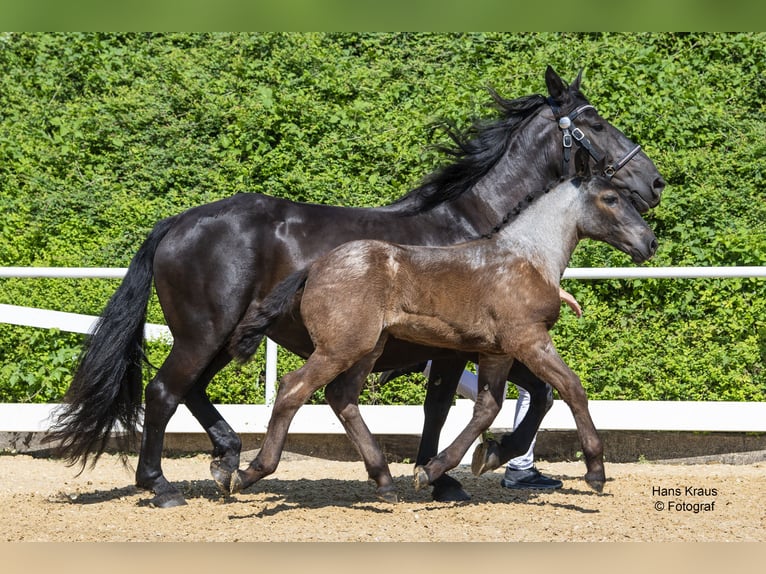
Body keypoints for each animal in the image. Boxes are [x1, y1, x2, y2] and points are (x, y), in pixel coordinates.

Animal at [48, 67, 664, 508]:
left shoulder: (476, 344)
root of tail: (176, 222)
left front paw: (463, 466)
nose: (654, 183)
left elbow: (515, 398)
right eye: (595, 121)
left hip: (224, 338)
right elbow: (464, 403)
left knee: (192, 391)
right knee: (164, 393)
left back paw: (227, 459)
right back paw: (162, 485)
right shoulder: (462, 347)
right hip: (206, 334)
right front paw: (455, 471)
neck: (479, 224)